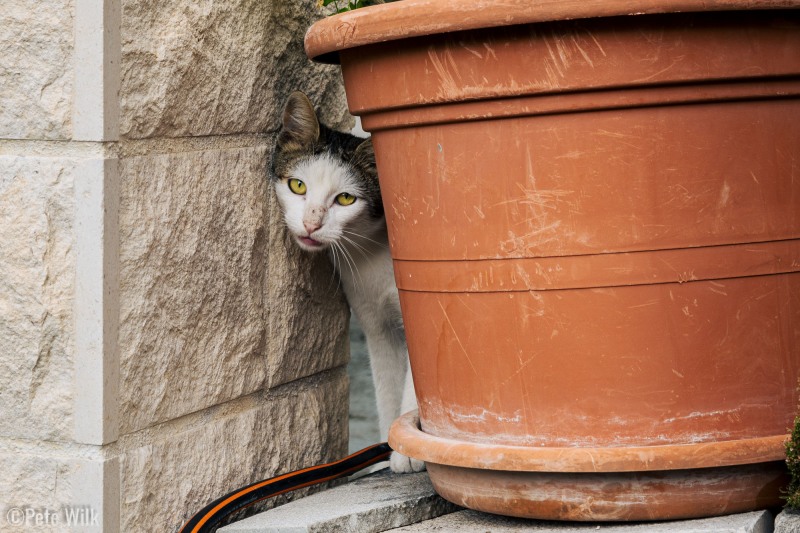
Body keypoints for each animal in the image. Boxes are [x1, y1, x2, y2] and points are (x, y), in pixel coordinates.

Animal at [272, 91, 424, 474]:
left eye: (345, 198)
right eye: (298, 186)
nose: (311, 224)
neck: (372, 252)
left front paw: (409, 452)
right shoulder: (376, 323)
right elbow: (386, 386)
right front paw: (390, 446)